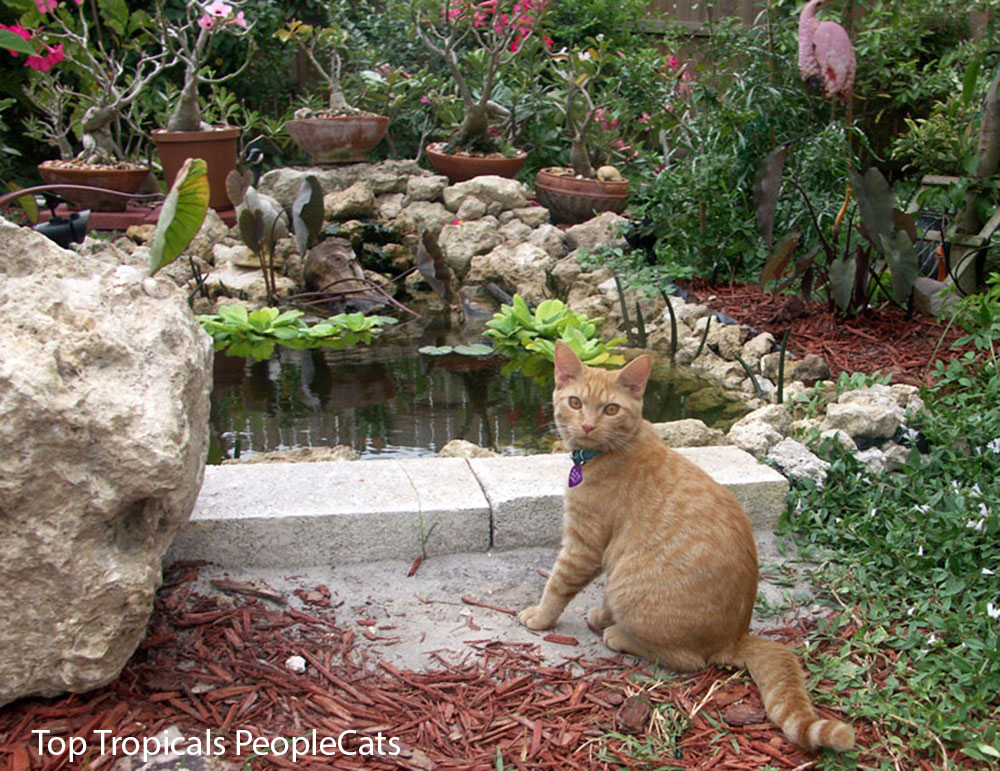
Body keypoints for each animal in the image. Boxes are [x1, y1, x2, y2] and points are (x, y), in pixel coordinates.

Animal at [520, 344, 856, 752]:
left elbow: (556, 586)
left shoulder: (583, 545)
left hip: (639, 590)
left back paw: (620, 635)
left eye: (610, 409)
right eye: (575, 402)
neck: (606, 451)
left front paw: (540, 617)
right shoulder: (605, 554)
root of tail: (736, 637)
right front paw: (601, 613)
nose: (586, 425)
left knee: (689, 659)